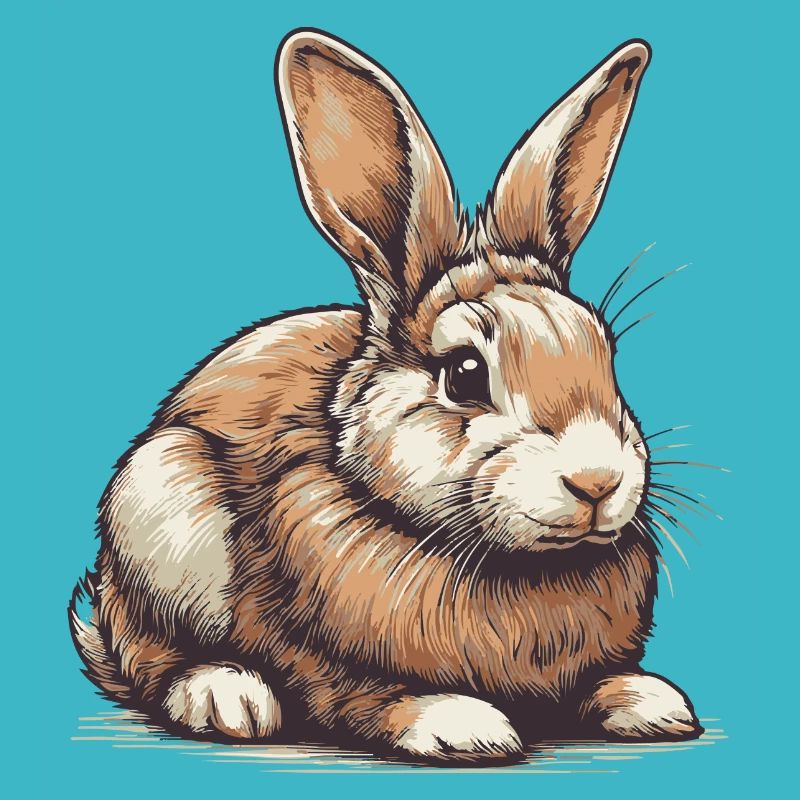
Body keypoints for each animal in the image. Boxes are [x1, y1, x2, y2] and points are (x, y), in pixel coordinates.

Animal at [69, 28, 702, 764]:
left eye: (606, 351)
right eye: (464, 373)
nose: (598, 481)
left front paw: (650, 701)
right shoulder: (315, 654)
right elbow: (360, 695)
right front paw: (459, 723)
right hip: (157, 509)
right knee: (148, 655)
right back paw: (223, 696)